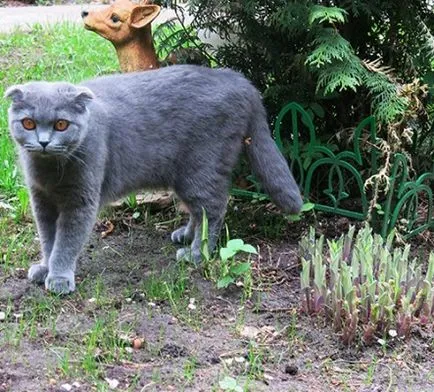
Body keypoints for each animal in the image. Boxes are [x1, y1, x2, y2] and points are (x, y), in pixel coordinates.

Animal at [5, 65, 302, 294]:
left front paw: (58, 277)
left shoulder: (80, 201)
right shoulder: (41, 201)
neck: (50, 172)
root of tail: (237, 79)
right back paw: (185, 235)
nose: (44, 142)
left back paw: (196, 253)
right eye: (28, 123)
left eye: (61, 125)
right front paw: (45, 267)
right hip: (185, 176)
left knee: (214, 210)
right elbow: (48, 238)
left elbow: (66, 241)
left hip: (200, 168)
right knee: (199, 210)